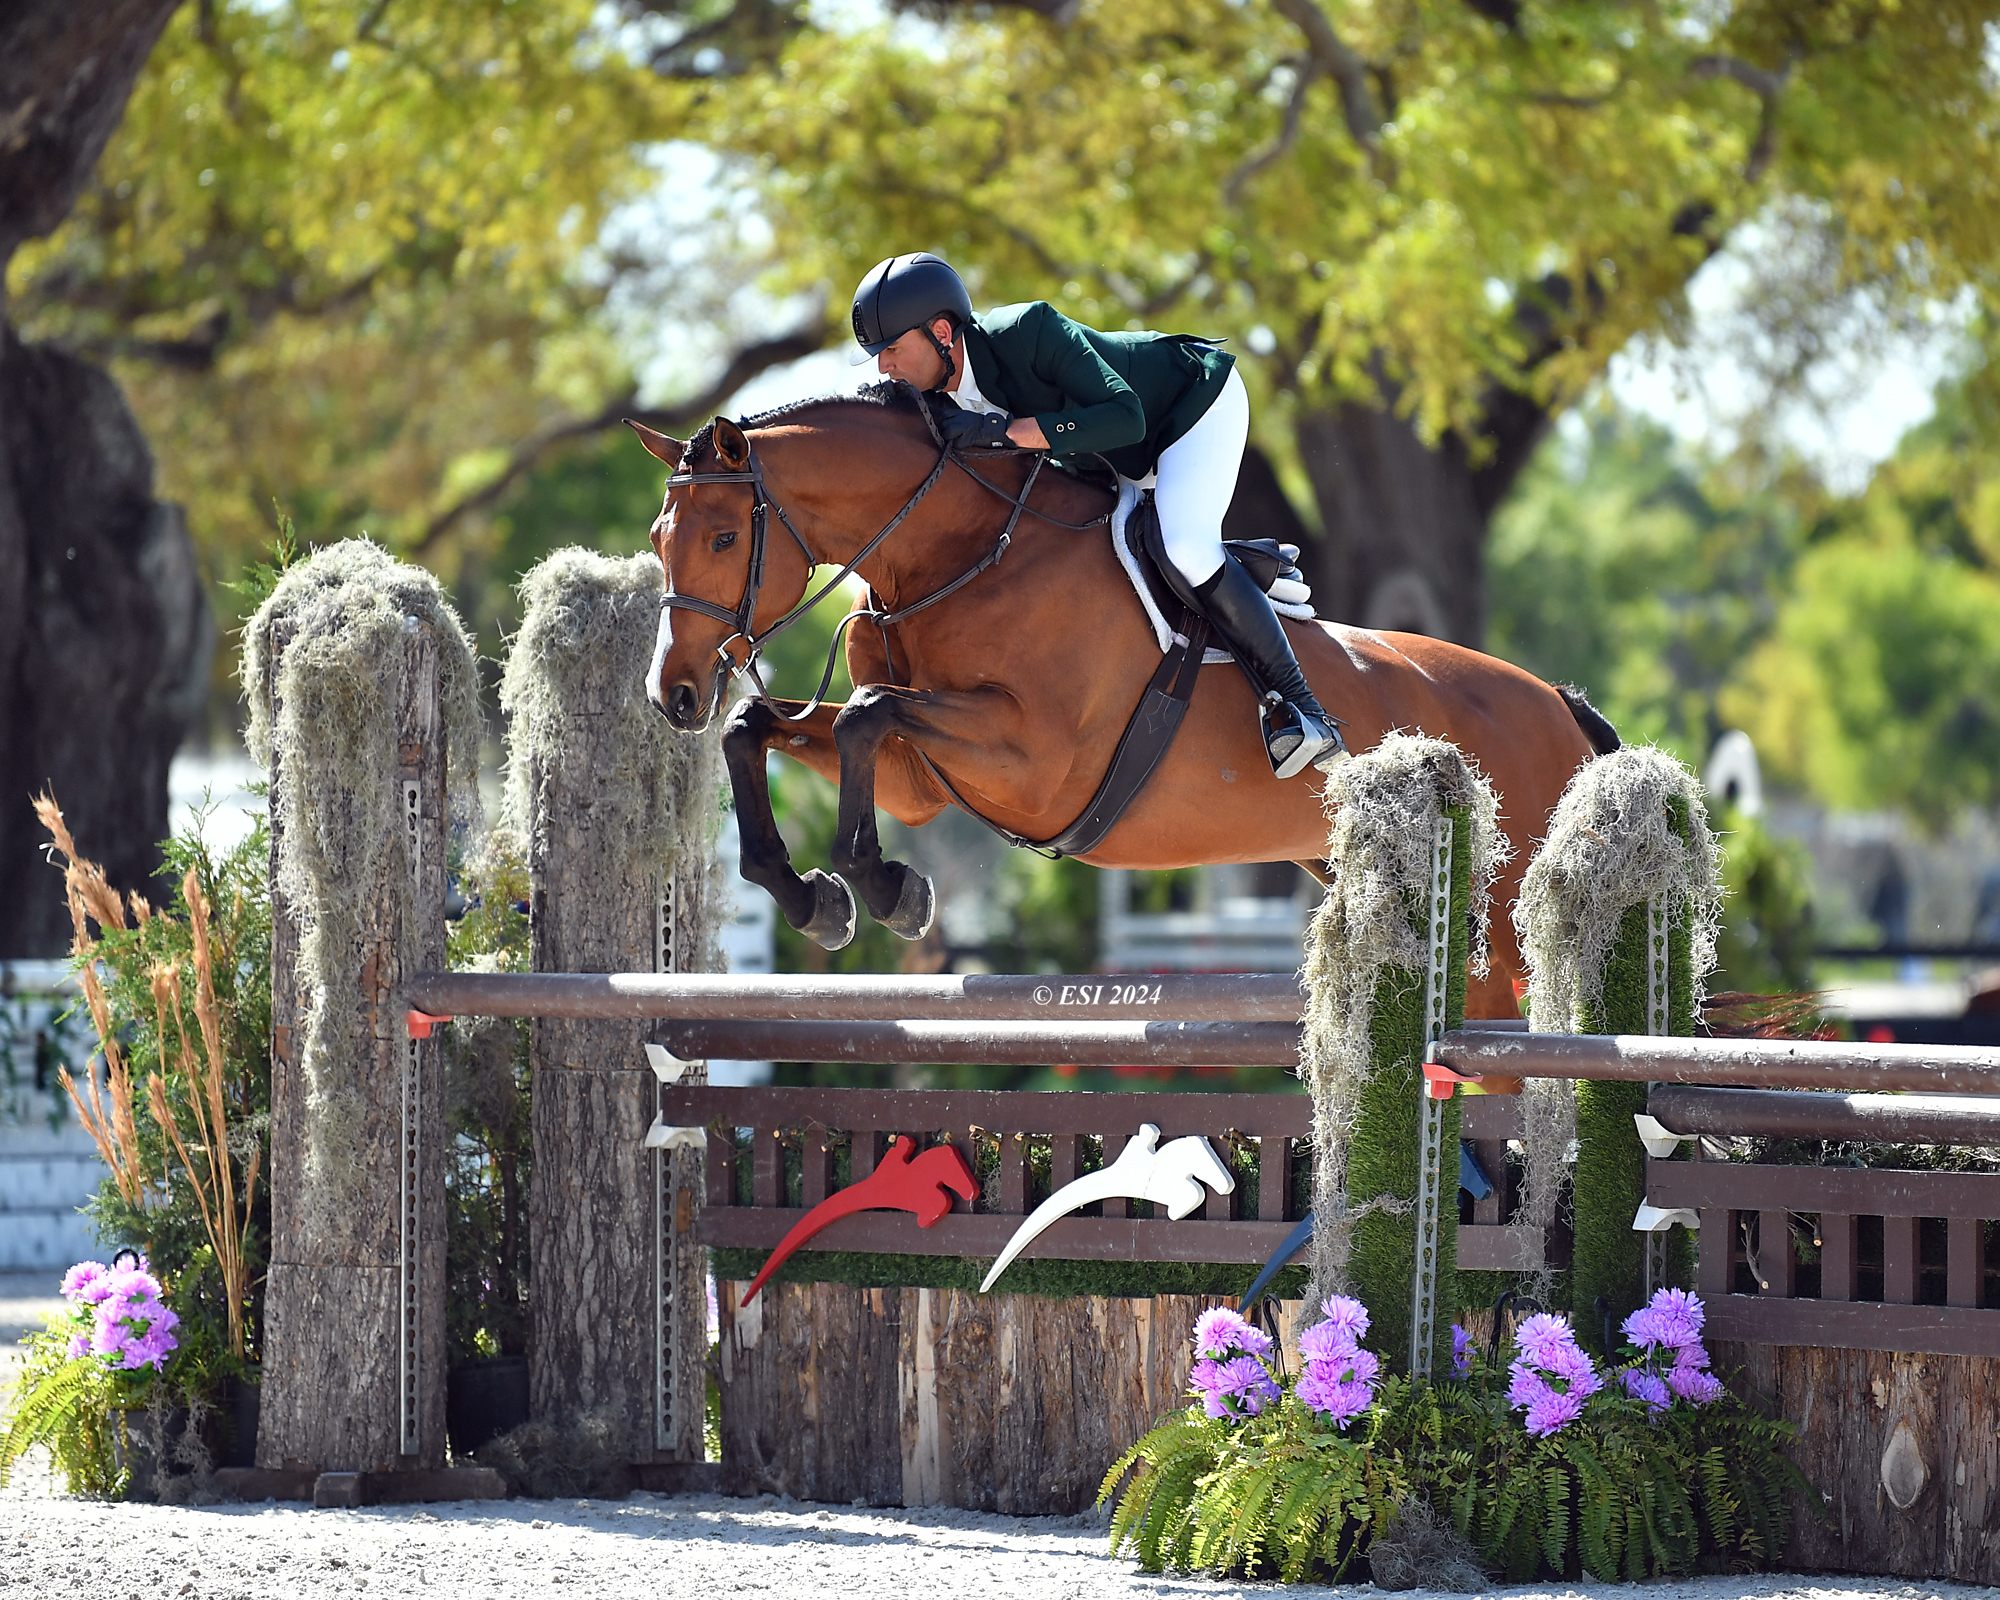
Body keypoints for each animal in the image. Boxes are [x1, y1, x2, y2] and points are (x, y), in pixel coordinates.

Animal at [632, 382, 1616, 1012]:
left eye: (723, 538)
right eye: (656, 537)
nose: (673, 695)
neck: (960, 554)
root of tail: (1554, 704)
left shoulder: (1033, 764)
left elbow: (869, 717)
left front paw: (884, 887)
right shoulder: (922, 778)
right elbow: (765, 724)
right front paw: (813, 898)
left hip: (1507, 914)